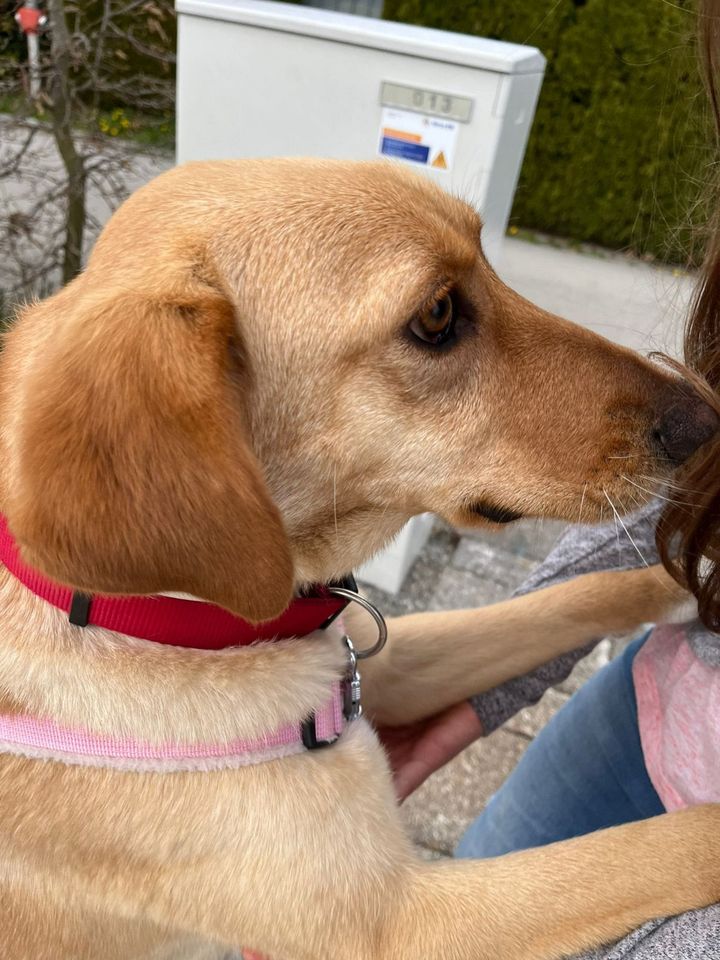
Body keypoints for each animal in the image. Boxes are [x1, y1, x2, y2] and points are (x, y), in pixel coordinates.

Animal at [1, 159, 720, 960]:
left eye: (486, 255)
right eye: (436, 313)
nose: (703, 421)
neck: (158, 619)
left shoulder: (393, 664)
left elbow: (562, 602)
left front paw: (680, 582)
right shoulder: (395, 922)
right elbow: (656, 845)